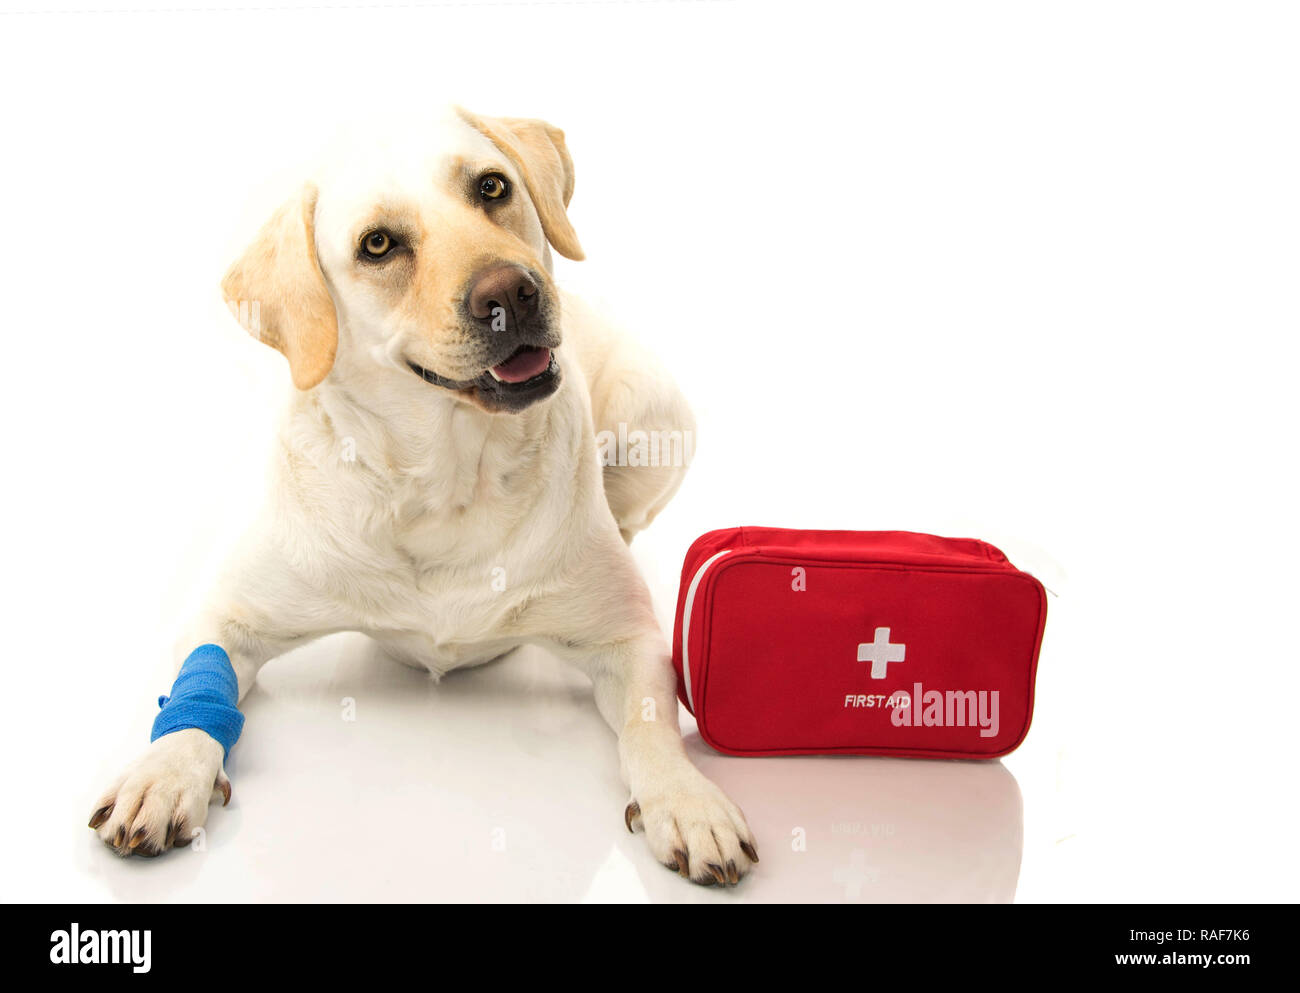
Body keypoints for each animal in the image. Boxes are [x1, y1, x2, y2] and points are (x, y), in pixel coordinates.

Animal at [86, 106, 759, 883]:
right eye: (378, 245)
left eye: (492, 186)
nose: (512, 292)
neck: (446, 481)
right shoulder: (226, 615)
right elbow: (198, 692)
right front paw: (162, 774)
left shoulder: (629, 638)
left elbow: (651, 724)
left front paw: (689, 799)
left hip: (657, 417)